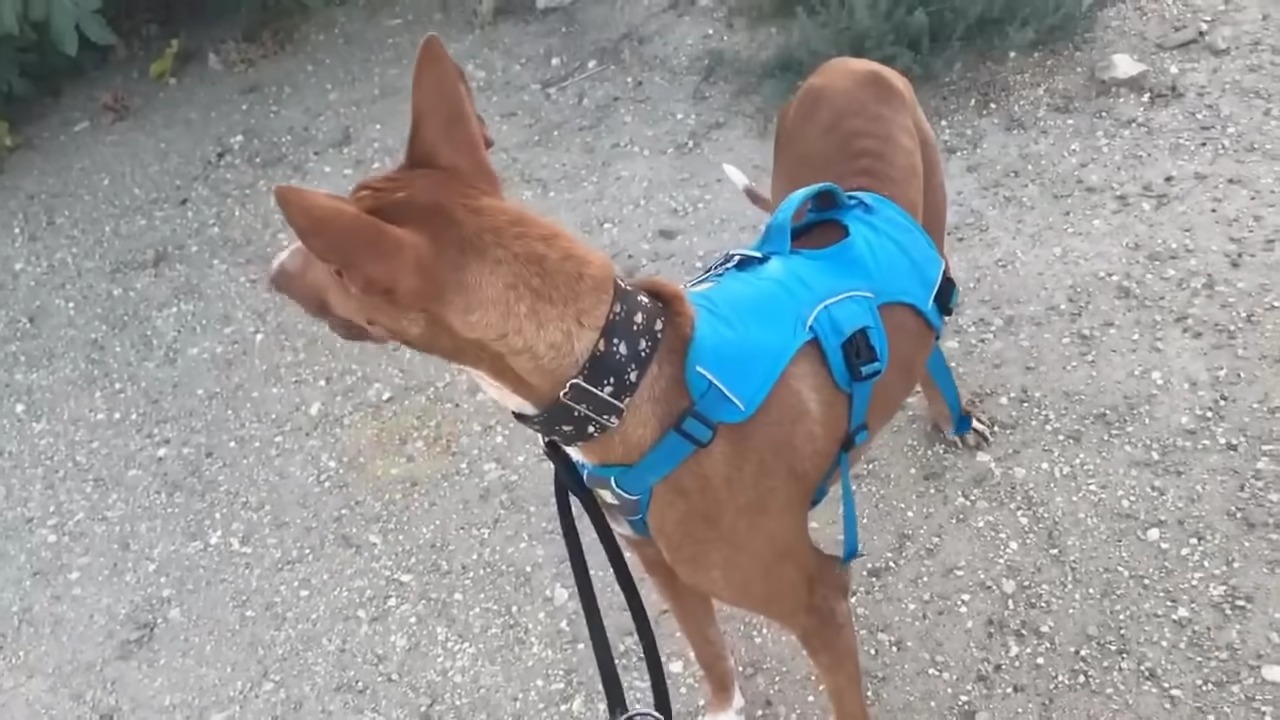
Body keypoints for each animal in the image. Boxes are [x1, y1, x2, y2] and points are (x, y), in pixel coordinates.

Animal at [267, 30, 988, 712]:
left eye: (331, 263)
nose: (271, 271)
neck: (625, 377)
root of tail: (845, 64)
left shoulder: (819, 599)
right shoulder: (656, 567)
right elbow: (713, 663)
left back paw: (952, 414)